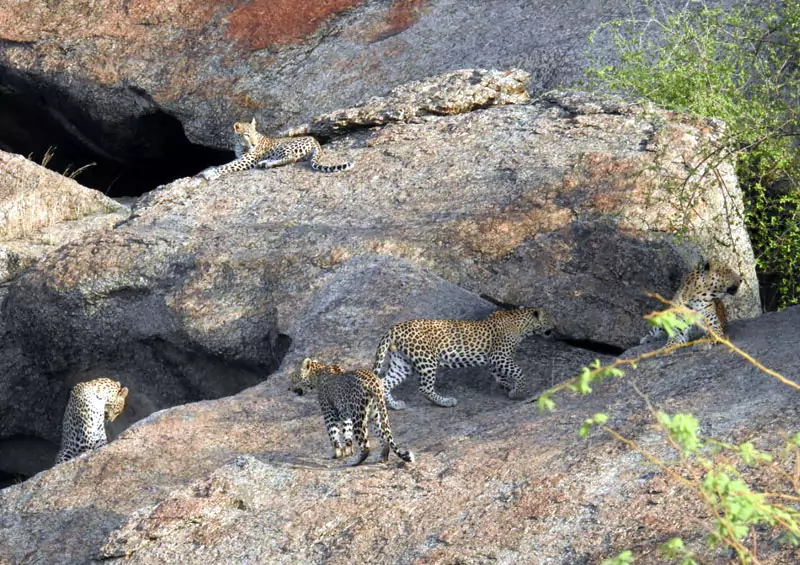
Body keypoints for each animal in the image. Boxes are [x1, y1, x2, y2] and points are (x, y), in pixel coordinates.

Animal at [198, 118, 352, 180]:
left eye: (254, 133)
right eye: (247, 135)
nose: (254, 144)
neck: (240, 144)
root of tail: (316, 142)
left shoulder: (245, 160)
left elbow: (225, 166)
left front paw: (210, 173)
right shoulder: (240, 157)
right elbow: (224, 164)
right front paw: (209, 169)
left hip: (283, 147)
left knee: (291, 158)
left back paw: (268, 163)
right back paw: (264, 162)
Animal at [372, 306, 552, 408]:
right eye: (550, 319)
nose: (555, 327)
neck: (521, 325)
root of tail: (395, 328)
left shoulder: (493, 360)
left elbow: (500, 375)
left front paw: (507, 385)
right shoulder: (499, 356)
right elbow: (519, 373)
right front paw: (517, 392)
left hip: (402, 363)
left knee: (384, 383)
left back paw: (395, 405)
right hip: (426, 359)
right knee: (424, 388)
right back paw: (445, 401)